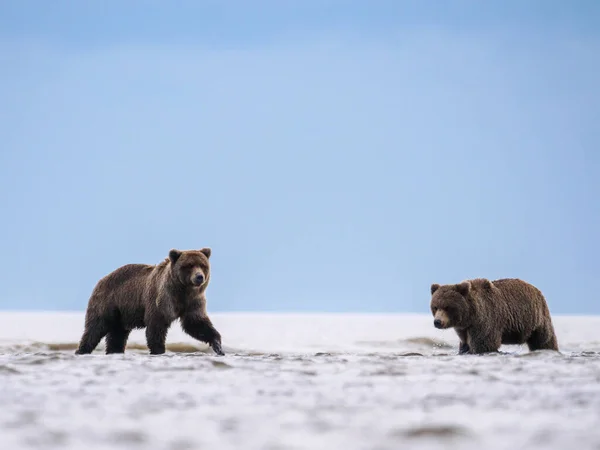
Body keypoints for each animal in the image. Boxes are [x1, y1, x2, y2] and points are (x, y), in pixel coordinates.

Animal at [75, 248, 224, 356]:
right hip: (108, 302)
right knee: (95, 328)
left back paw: (114, 351)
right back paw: (81, 350)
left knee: (117, 334)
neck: (182, 291)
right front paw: (158, 350)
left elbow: (196, 323)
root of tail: (101, 279)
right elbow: (156, 326)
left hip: (122, 313)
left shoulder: (193, 301)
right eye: (189, 265)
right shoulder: (162, 299)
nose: (199, 277)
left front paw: (218, 345)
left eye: (203, 265)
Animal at [428, 278, 560, 356]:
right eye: (435, 307)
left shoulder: (485, 320)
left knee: (544, 339)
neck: (470, 315)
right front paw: (463, 350)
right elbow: (464, 343)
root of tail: (536, 289)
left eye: (447, 307)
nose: (437, 322)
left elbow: (484, 343)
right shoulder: (463, 329)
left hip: (538, 318)